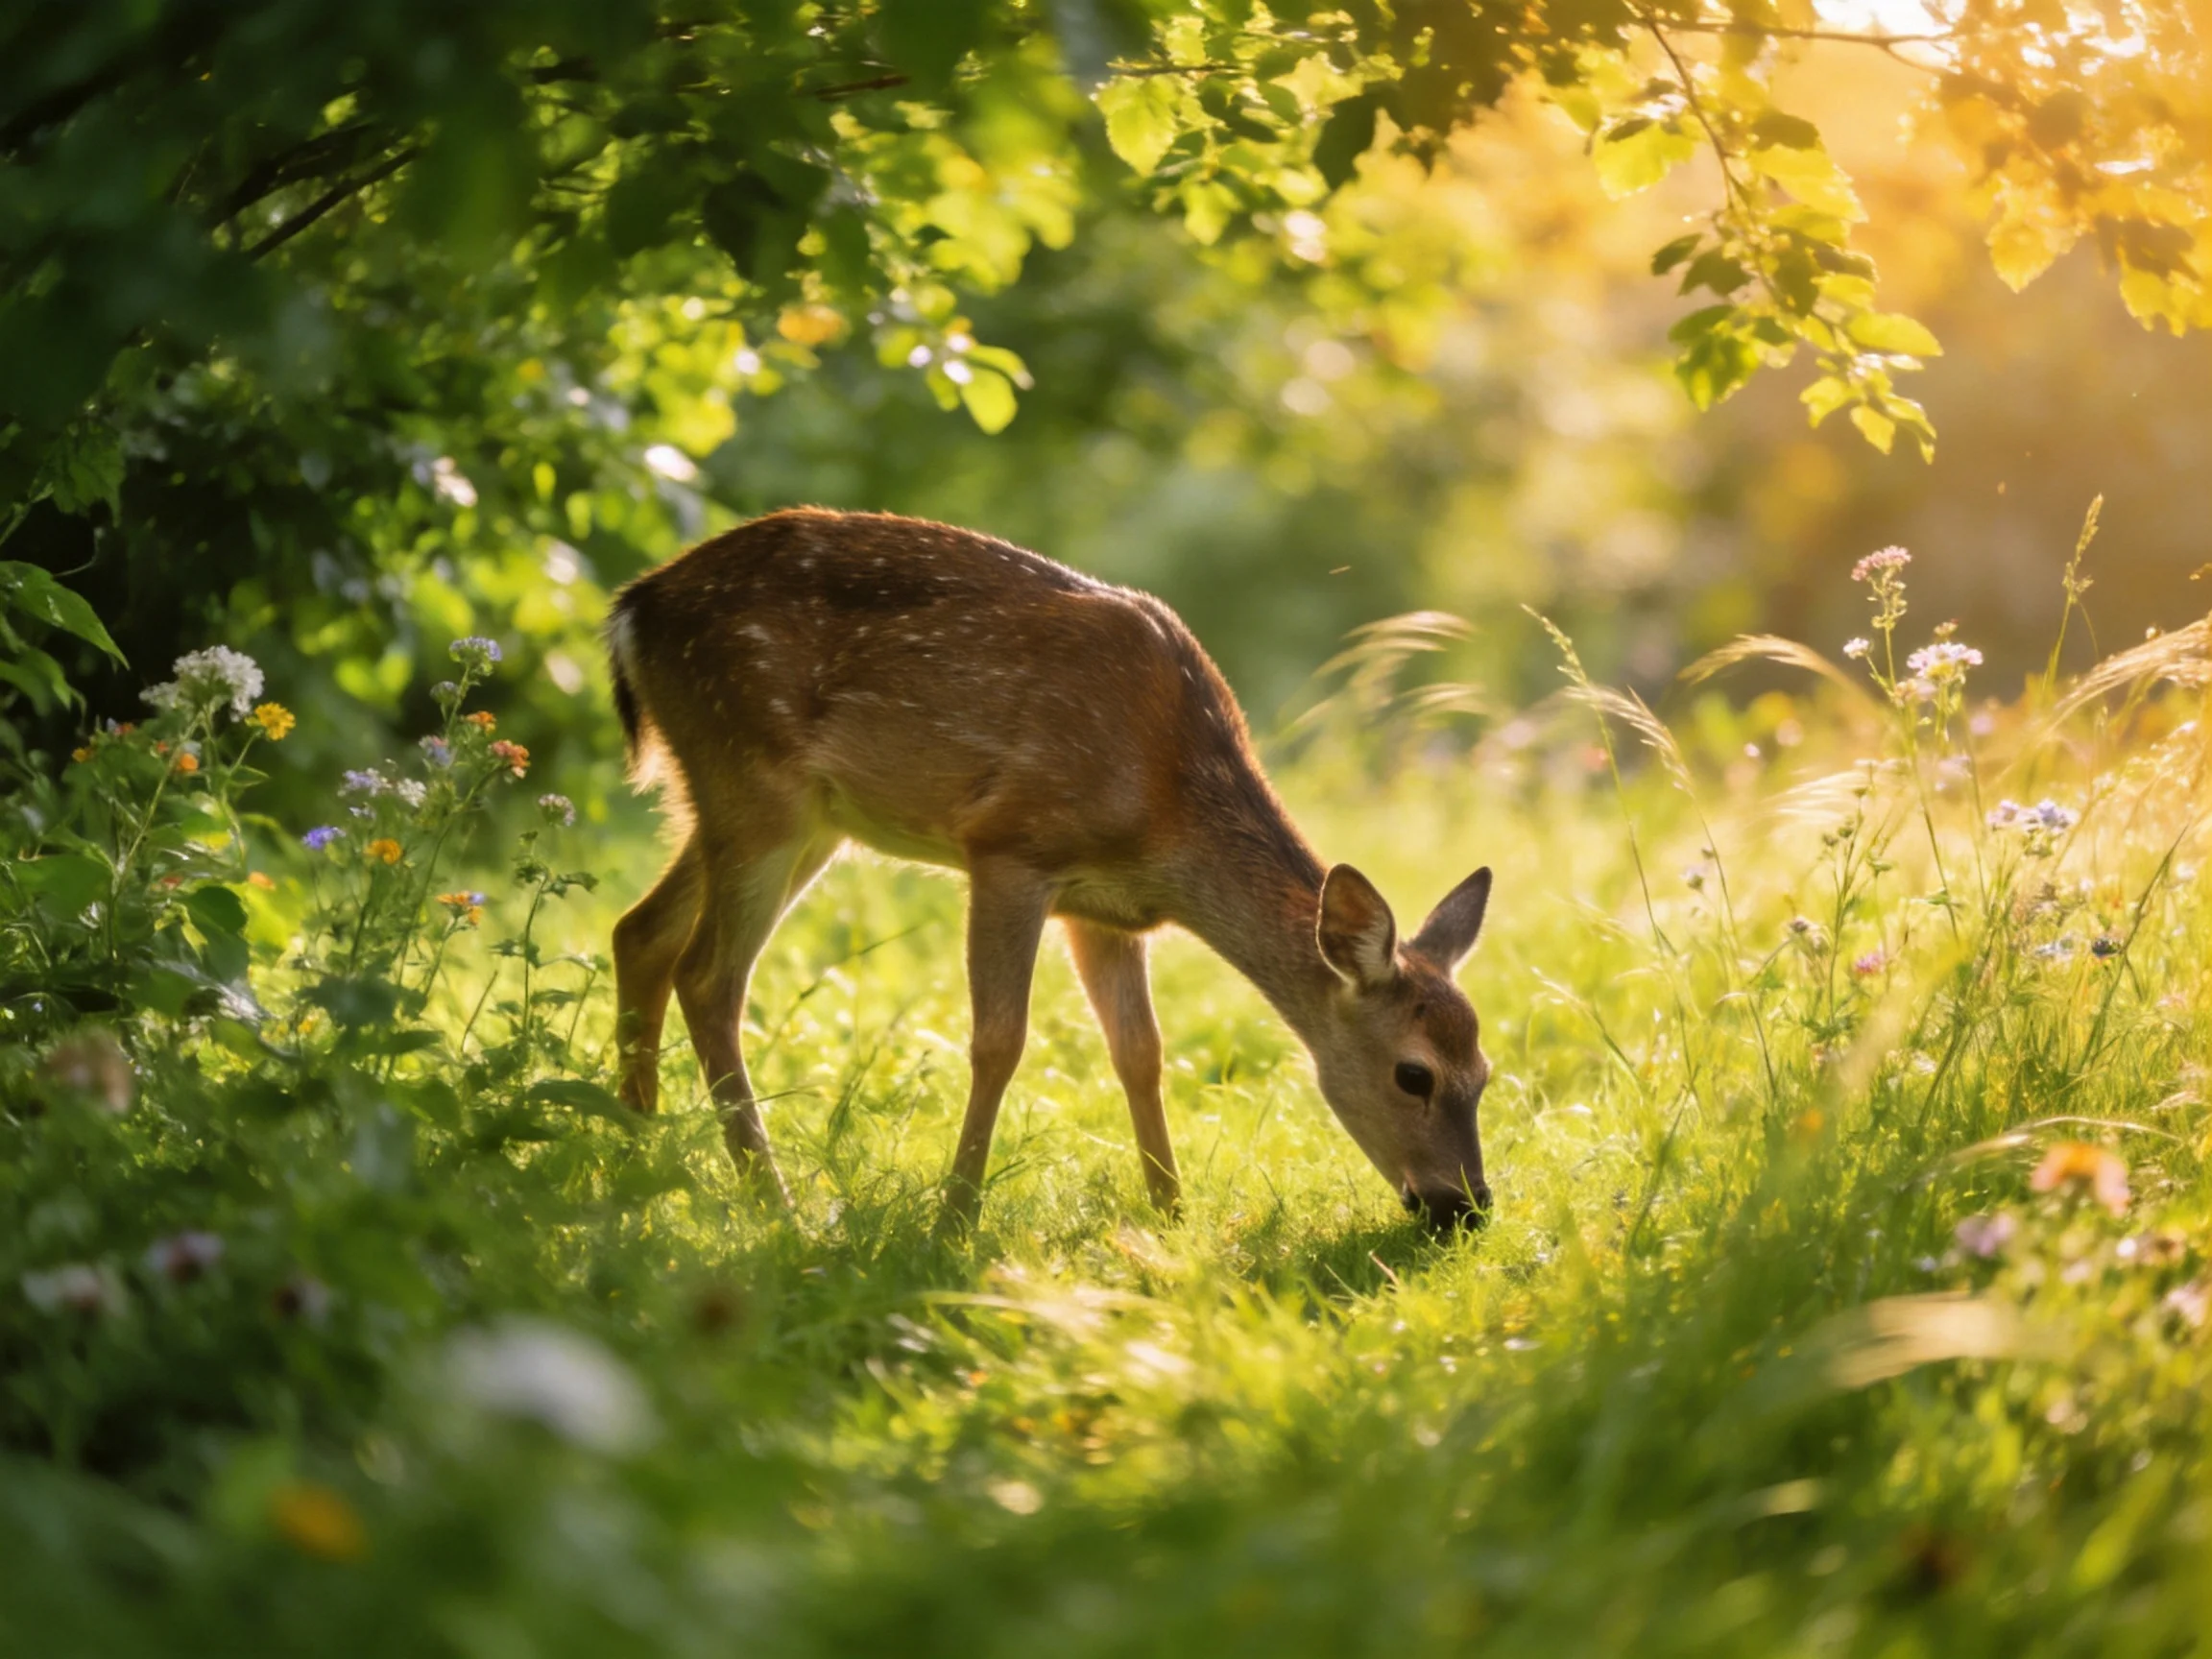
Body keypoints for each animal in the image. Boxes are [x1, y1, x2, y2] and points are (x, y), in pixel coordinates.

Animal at [605, 507, 1497, 1234]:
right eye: (1413, 1074)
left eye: (1486, 1074)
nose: (1465, 1206)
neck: (1166, 806)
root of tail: (632, 611)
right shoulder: (1010, 847)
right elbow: (1000, 1039)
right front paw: (954, 1220)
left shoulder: (1105, 911)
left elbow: (1141, 1052)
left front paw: (1172, 1218)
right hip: (753, 777)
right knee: (708, 974)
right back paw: (773, 1203)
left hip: (780, 812)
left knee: (639, 932)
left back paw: (633, 1164)